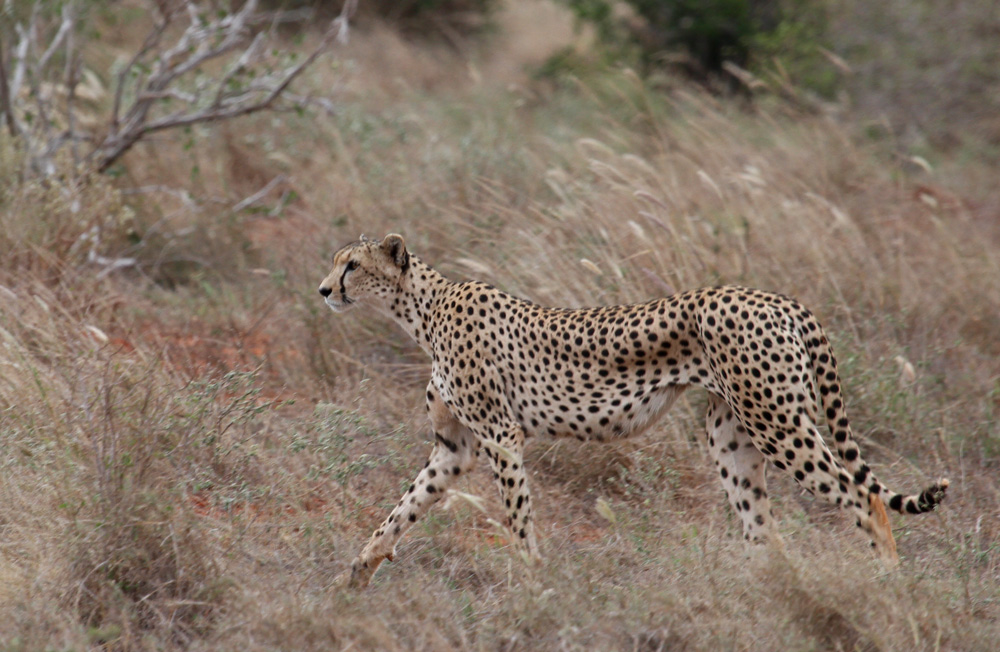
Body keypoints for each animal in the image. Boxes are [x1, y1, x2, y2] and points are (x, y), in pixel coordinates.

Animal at [318, 236, 944, 592]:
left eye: (351, 266)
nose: (323, 290)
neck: (422, 310)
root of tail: (781, 298)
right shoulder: (455, 449)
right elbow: (400, 510)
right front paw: (357, 574)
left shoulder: (499, 436)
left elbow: (517, 518)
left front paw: (532, 584)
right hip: (732, 437)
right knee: (767, 534)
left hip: (777, 422)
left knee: (862, 496)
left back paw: (887, 585)